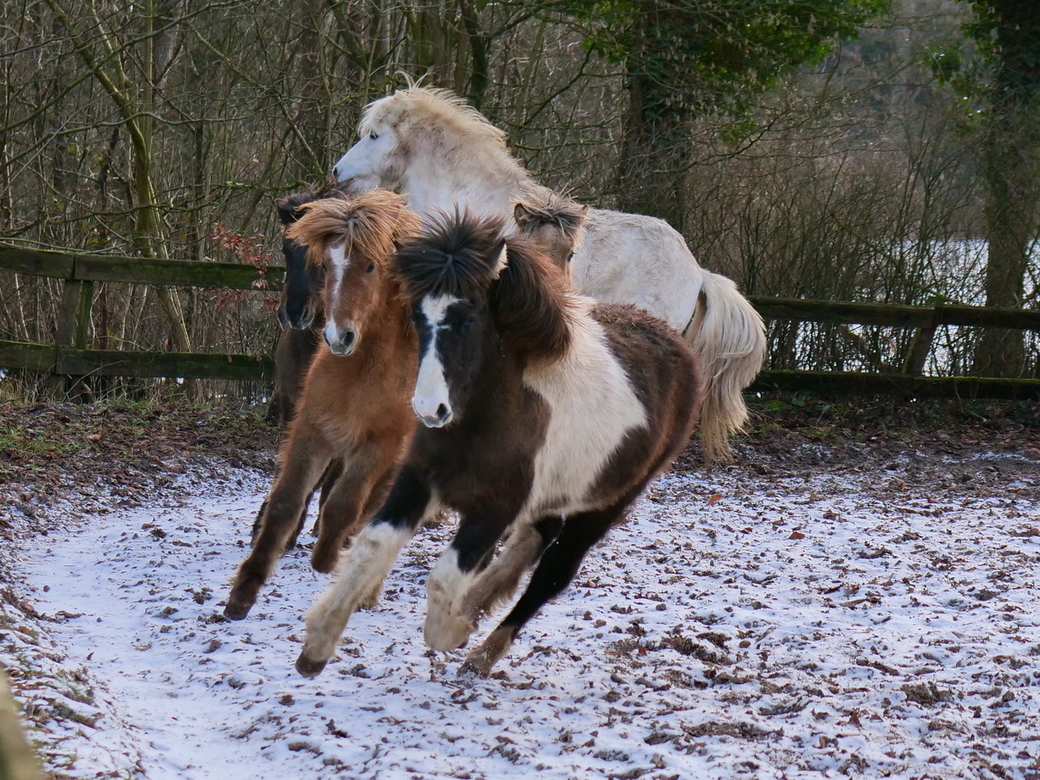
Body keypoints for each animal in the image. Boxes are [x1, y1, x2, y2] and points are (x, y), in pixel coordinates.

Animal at [224, 191, 422, 624]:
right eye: (327, 265)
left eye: (370, 265)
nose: (338, 336)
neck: (361, 373)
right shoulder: (311, 430)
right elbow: (286, 501)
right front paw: (242, 594)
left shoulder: (378, 446)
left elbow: (343, 505)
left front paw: (326, 557)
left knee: (374, 515)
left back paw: (363, 585)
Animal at [295, 212, 707, 678]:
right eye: (418, 317)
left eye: (469, 318)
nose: (429, 410)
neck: (487, 417)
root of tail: (681, 351)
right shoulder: (418, 480)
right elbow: (371, 546)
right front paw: (317, 645)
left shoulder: (495, 508)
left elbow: (444, 577)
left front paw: (454, 631)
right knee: (539, 538)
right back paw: (480, 604)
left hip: (604, 504)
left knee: (554, 572)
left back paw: (484, 650)